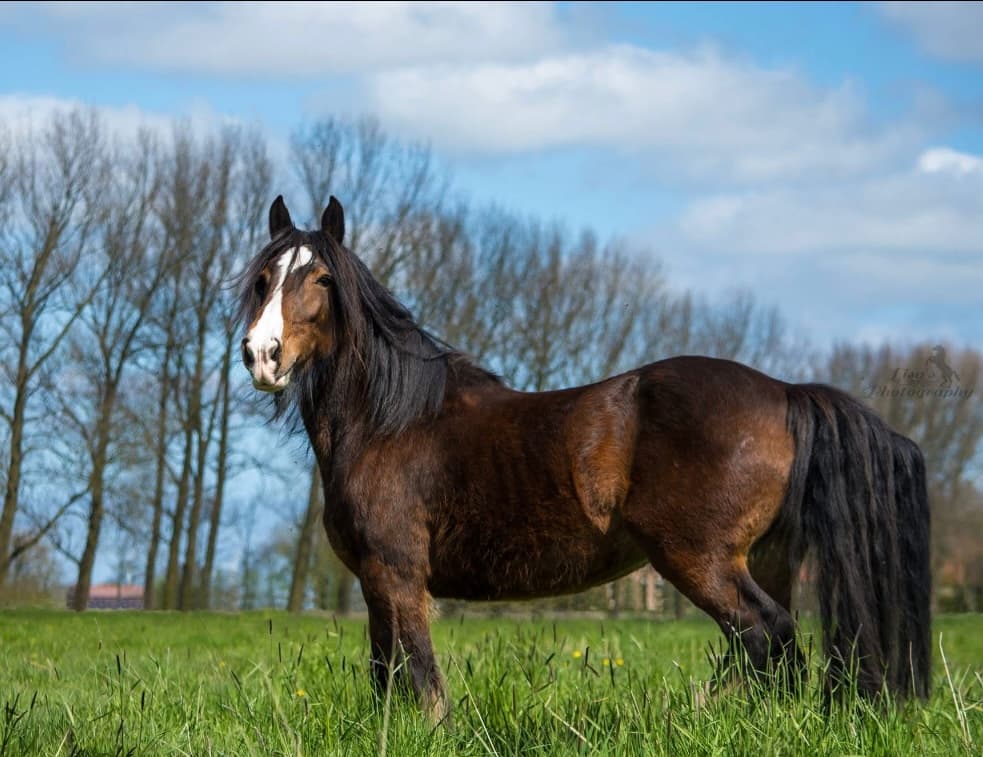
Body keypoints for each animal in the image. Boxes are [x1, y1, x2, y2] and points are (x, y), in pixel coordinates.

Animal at [237, 195, 932, 719]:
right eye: (264, 280)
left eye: (323, 279)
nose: (262, 355)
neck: (393, 421)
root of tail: (786, 392)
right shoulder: (377, 581)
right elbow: (388, 678)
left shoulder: (397, 574)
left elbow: (422, 683)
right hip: (765, 557)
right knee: (771, 650)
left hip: (699, 559)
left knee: (768, 636)